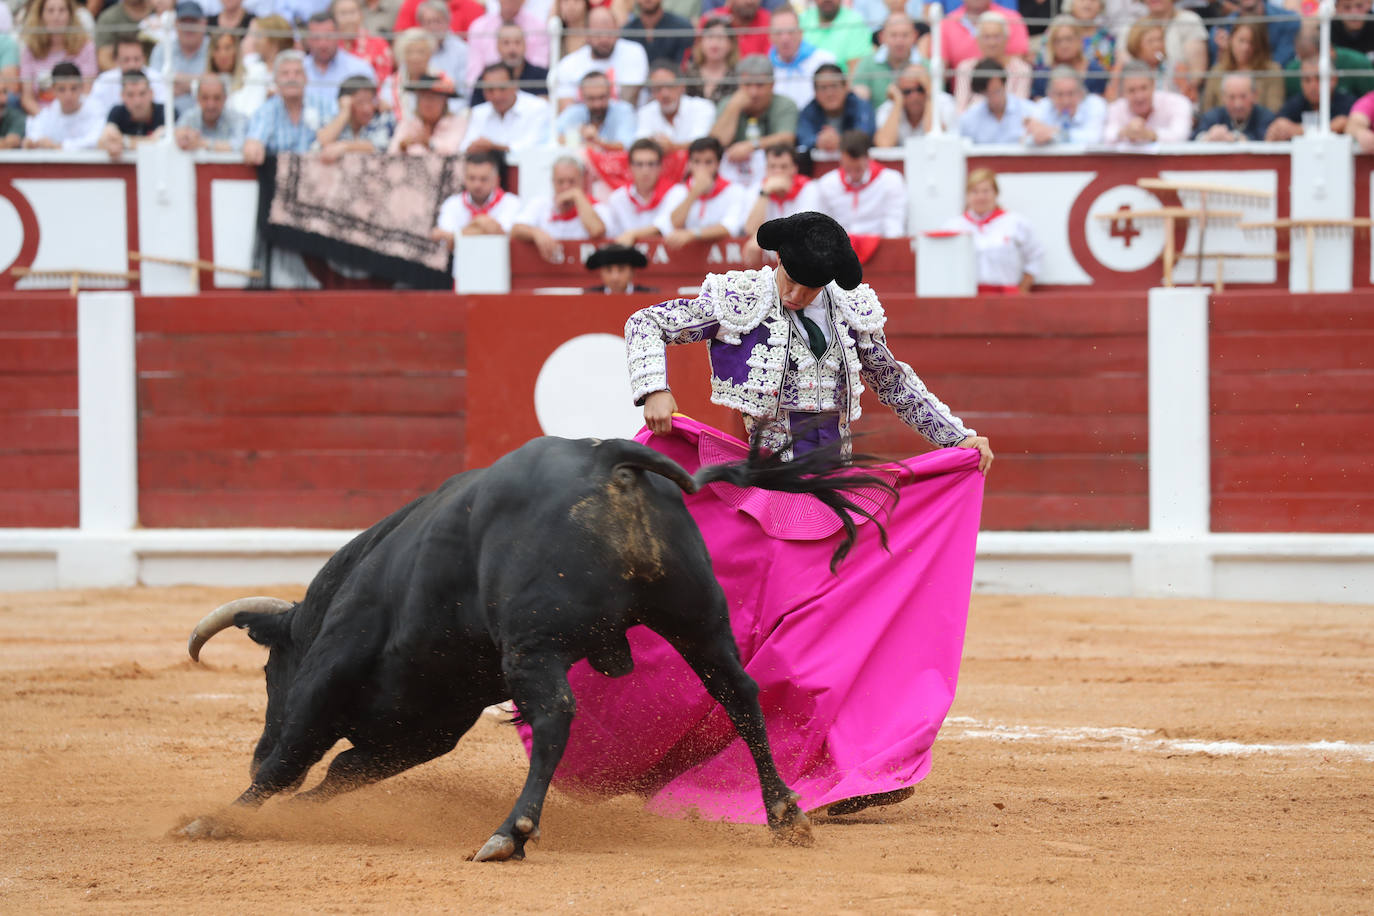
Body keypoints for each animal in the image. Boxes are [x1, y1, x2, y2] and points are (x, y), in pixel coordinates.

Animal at [182, 433, 890, 862]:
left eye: (270, 671)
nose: (251, 749)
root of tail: (608, 460)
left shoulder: (332, 674)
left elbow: (294, 758)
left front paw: (217, 819)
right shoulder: (430, 726)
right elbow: (341, 771)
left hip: (535, 645)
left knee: (554, 717)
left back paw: (509, 833)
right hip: (697, 617)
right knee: (738, 692)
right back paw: (785, 813)